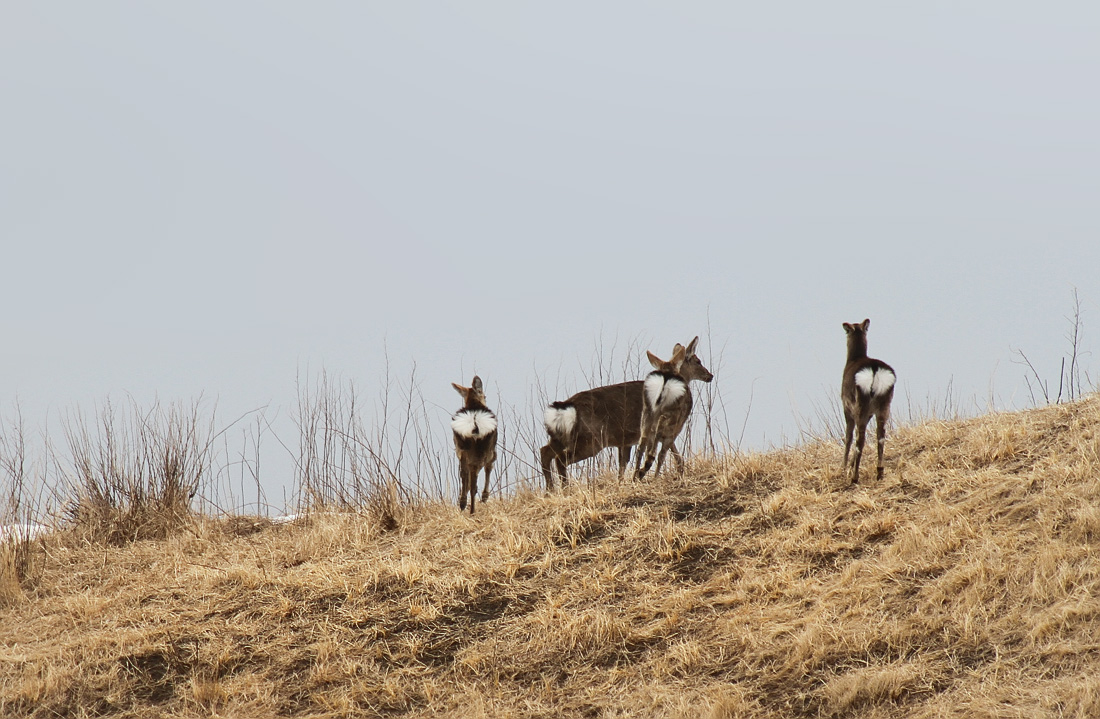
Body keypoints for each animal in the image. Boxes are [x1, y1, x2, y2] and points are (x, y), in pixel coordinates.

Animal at [448, 373, 497, 514]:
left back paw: (463, 503)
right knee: (478, 473)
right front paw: (485, 497)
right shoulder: (493, 450)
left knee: (464, 474)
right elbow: (489, 468)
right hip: (485, 448)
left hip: (462, 448)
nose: (485, 399)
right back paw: (473, 507)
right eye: (484, 396)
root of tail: (474, 423)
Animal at [633, 338, 717, 483]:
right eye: (698, 361)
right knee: (657, 448)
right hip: (672, 414)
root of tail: (665, 378)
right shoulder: (676, 429)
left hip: (647, 411)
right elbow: (668, 454)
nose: (710, 375)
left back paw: (635, 475)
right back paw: (645, 469)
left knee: (642, 445)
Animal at [840, 318, 893, 483]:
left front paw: (844, 468)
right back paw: (879, 472)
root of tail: (875, 370)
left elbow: (848, 436)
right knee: (881, 436)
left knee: (860, 439)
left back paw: (855, 476)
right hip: (884, 403)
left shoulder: (846, 406)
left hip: (860, 404)